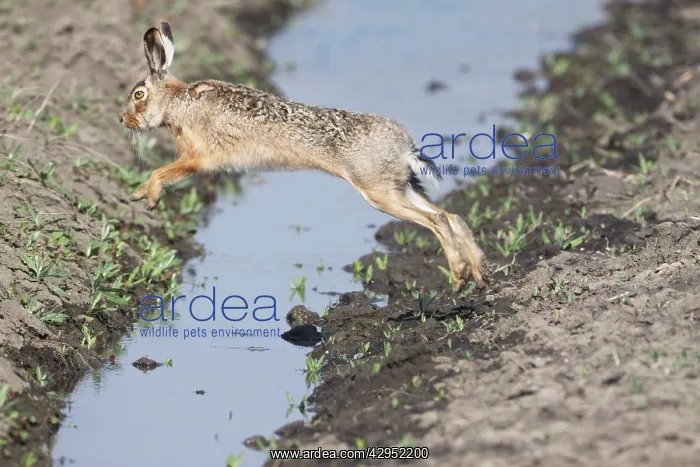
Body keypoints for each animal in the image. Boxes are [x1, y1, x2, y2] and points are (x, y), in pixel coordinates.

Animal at [118, 22, 489, 290]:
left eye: (138, 95)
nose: (122, 120)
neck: (177, 104)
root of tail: (404, 146)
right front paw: (136, 196)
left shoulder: (197, 158)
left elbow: (160, 172)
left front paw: (147, 198)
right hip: (402, 187)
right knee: (451, 215)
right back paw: (480, 273)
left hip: (378, 192)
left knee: (437, 220)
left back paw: (459, 277)